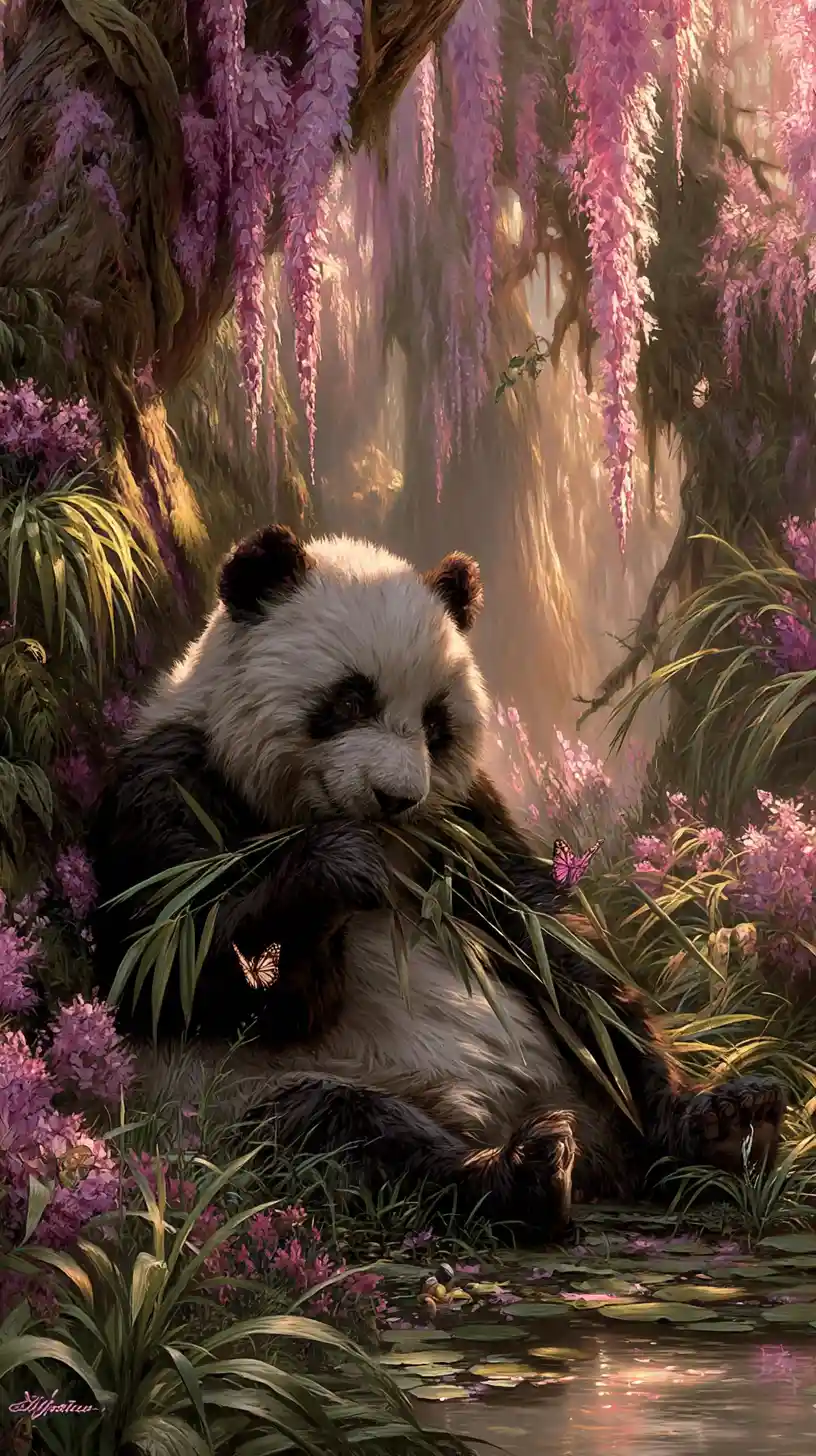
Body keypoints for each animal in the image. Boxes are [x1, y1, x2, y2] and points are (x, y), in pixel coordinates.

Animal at [89, 525, 786, 1239]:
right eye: (350, 700)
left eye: (434, 723)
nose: (396, 798)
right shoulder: (169, 781)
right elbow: (169, 970)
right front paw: (335, 870)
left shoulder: (464, 822)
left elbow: (550, 938)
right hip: (245, 1097)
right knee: (343, 1132)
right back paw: (521, 1176)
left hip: (574, 1078)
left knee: (604, 1042)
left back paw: (723, 1128)